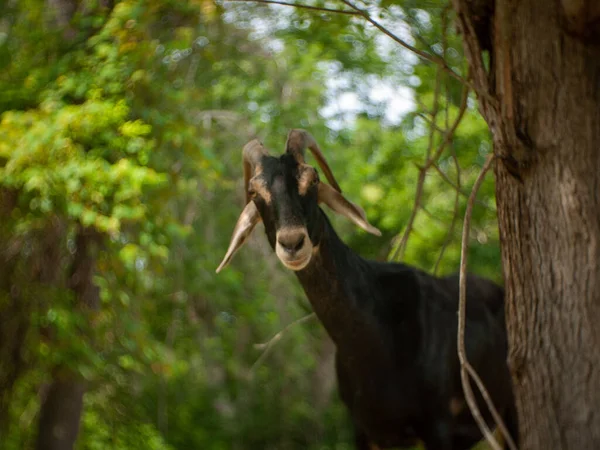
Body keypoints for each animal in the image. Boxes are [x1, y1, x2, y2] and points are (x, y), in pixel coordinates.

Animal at [218, 130, 516, 450]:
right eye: (254, 192)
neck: (378, 338)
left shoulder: (437, 425)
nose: (292, 243)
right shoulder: (364, 429)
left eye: (313, 179)